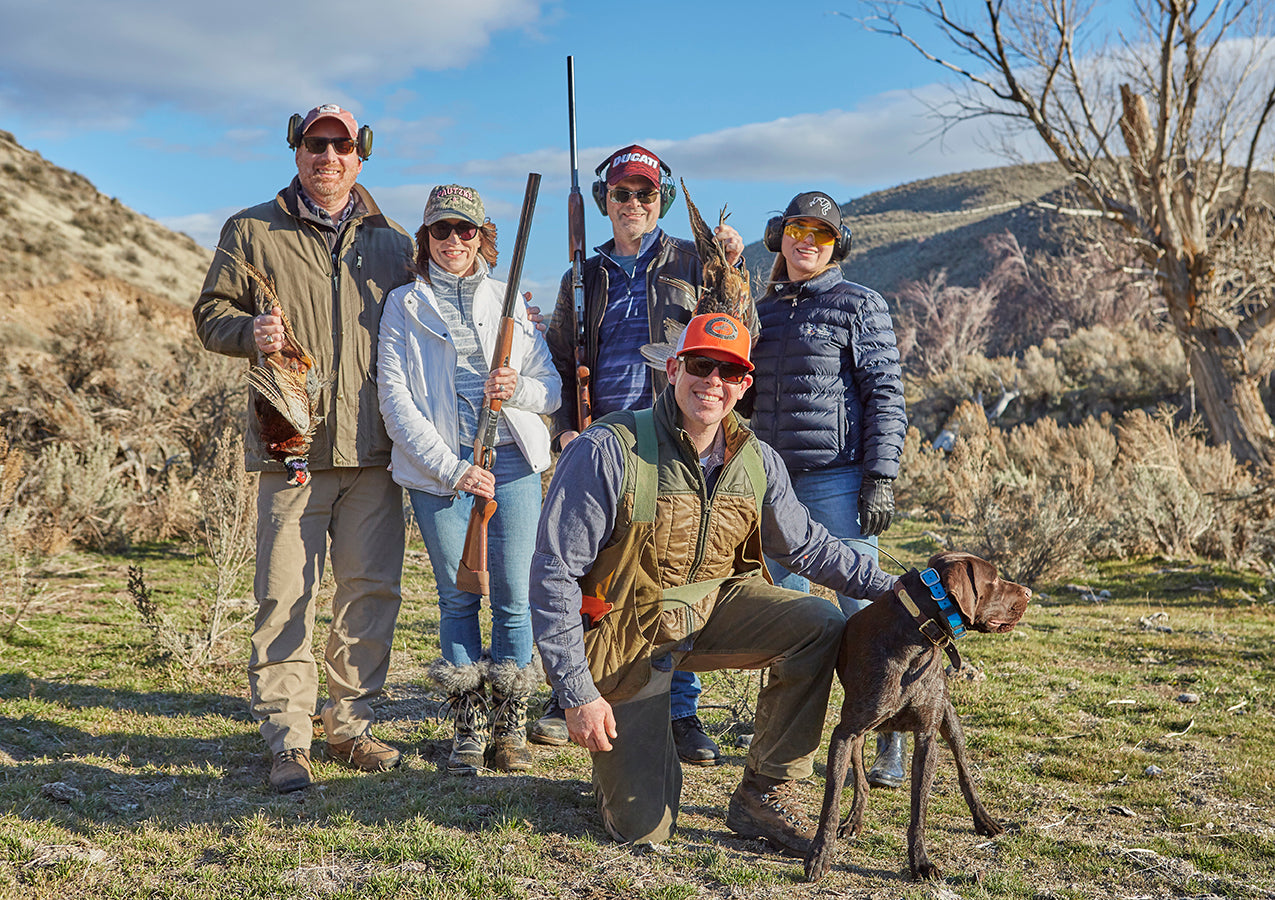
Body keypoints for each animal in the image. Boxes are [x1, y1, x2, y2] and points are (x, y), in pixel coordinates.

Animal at [805, 545, 1035, 877]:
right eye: (993, 579)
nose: (1029, 593)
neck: (915, 637)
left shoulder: (927, 737)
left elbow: (919, 811)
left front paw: (920, 861)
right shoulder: (845, 733)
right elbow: (830, 803)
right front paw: (819, 855)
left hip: (950, 722)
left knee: (965, 773)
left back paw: (983, 820)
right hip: (858, 736)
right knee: (861, 781)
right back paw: (854, 820)